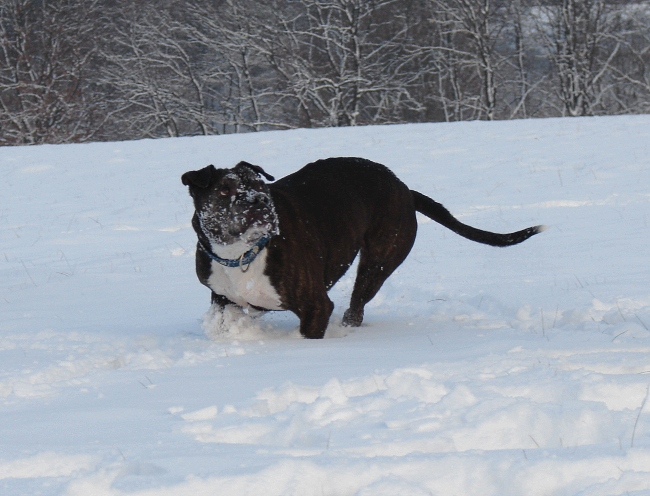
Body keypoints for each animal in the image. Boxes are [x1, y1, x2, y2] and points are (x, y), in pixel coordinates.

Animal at [178, 157, 540, 340]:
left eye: (259, 185)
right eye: (225, 190)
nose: (259, 202)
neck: (240, 253)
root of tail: (404, 189)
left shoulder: (316, 306)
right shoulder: (222, 297)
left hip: (378, 261)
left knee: (357, 305)